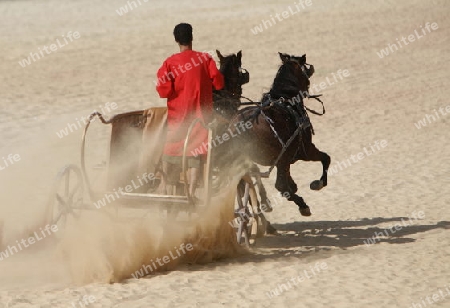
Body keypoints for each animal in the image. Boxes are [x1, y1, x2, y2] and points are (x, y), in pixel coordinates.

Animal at [216, 52, 328, 217]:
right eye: (304, 68)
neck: (286, 101)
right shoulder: (305, 150)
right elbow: (326, 158)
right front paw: (318, 183)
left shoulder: (286, 158)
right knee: (280, 186)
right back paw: (301, 205)